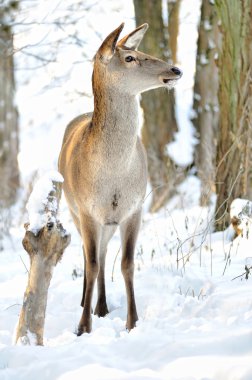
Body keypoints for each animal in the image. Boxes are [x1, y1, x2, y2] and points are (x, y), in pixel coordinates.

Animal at [58, 22, 182, 336]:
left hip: (108, 222)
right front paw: (82, 327)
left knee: (103, 255)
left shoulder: (135, 208)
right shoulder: (87, 210)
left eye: (140, 50)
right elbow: (90, 263)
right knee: (90, 255)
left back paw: (101, 306)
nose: (175, 69)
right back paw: (86, 303)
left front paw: (132, 321)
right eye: (129, 58)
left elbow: (127, 263)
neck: (113, 175)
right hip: (73, 210)